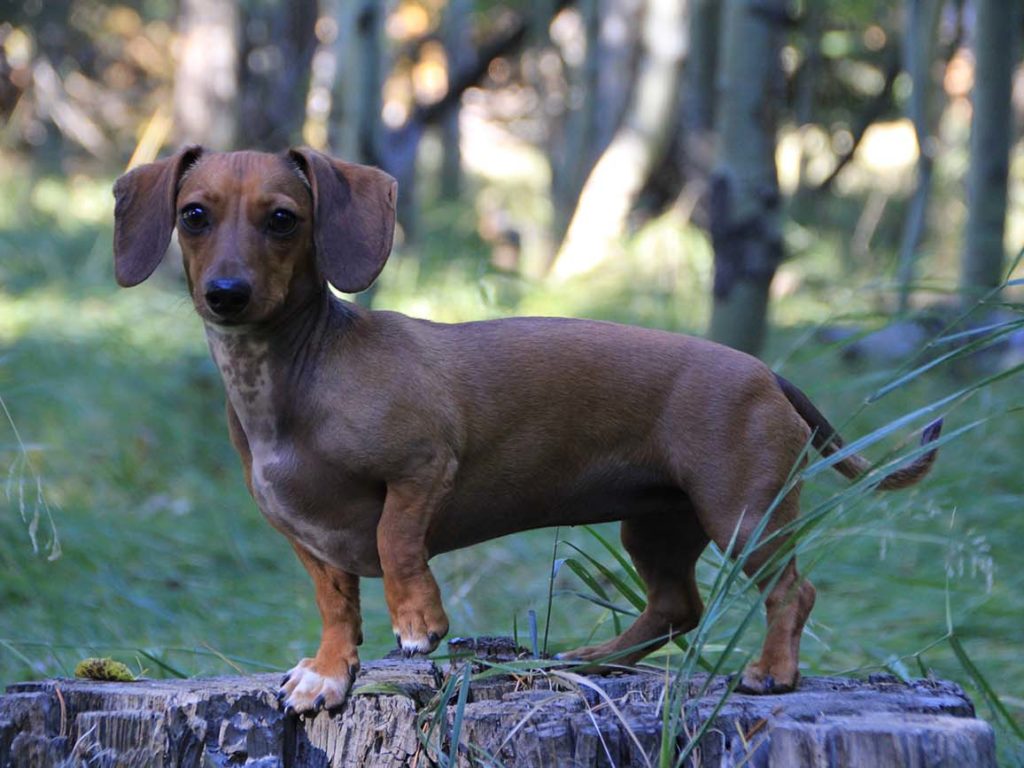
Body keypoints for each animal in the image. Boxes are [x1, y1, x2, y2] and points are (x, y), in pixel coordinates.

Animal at [110, 145, 937, 716]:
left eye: (283, 218)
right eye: (194, 215)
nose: (226, 294)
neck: (295, 374)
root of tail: (764, 371)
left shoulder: (424, 467)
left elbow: (396, 543)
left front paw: (419, 622)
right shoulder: (307, 539)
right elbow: (335, 605)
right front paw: (328, 672)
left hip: (744, 514)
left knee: (792, 592)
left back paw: (771, 672)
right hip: (656, 525)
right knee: (678, 607)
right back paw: (599, 659)